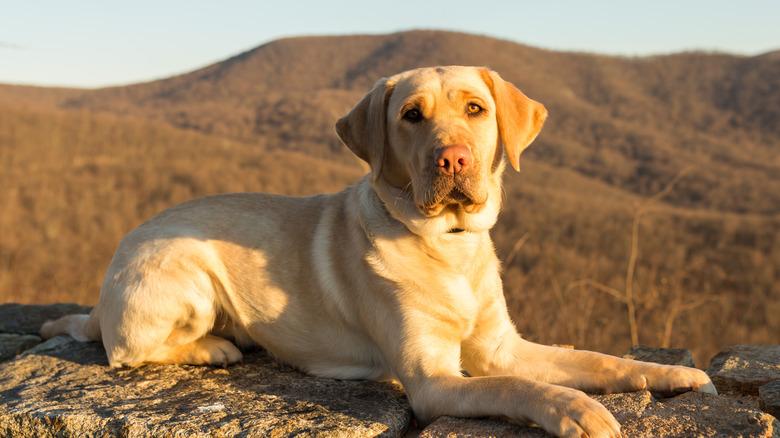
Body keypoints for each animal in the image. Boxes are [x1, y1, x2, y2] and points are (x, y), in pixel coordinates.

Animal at [41, 66, 712, 436]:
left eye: (476, 108)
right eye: (411, 115)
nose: (452, 158)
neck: (449, 249)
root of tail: (105, 285)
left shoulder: (504, 346)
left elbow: (596, 360)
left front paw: (670, 375)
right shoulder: (434, 381)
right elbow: (519, 389)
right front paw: (578, 411)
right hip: (185, 277)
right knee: (125, 351)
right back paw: (215, 347)